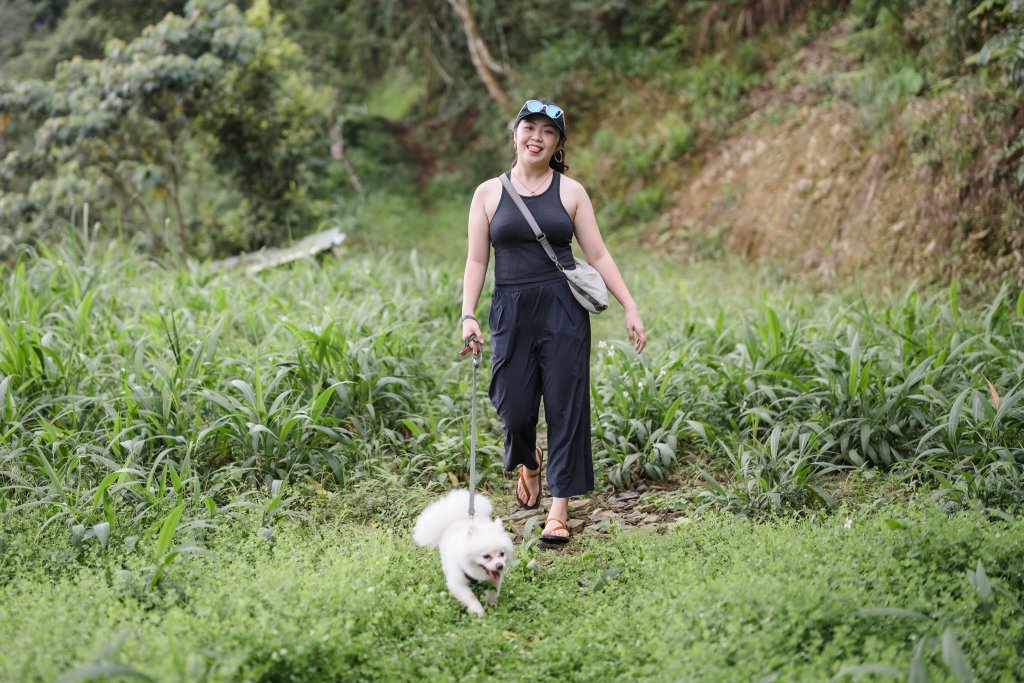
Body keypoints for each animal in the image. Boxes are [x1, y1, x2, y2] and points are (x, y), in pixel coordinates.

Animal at [413, 489, 516, 618]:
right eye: (486, 556)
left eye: (502, 554)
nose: (500, 566)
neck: (477, 574)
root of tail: (456, 519)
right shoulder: (458, 583)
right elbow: (470, 596)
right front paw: (478, 611)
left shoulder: (494, 580)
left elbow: (492, 593)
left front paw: (491, 606)